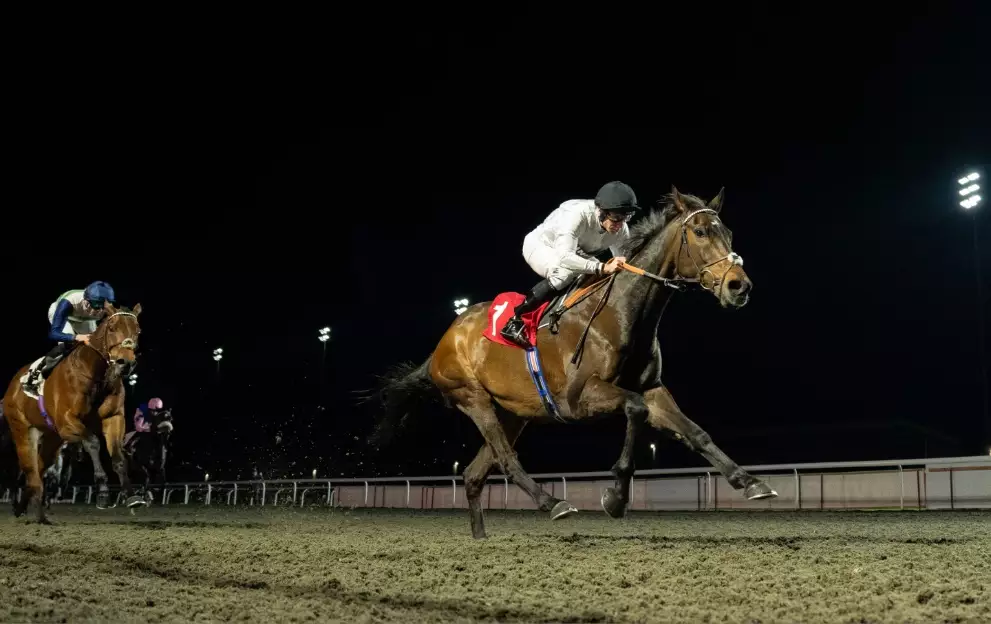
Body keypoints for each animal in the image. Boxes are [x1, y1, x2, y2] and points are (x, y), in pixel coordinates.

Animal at [1, 302, 144, 523]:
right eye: (112, 328)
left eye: (137, 331)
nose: (125, 362)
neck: (96, 374)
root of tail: (13, 385)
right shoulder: (67, 422)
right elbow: (92, 442)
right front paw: (103, 492)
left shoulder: (113, 418)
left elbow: (119, 457)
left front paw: (132, 496)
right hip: (22, 429)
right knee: (30, 469)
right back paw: (39, 516)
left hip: (52, 438)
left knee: (39, 468)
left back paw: (24, 508)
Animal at [369, 186, 777, 538]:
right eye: (700, 231)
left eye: (727, 232)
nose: (739, 286)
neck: (619, 313)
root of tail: (443, 343)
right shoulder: (579, 397)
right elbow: (635, 409)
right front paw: (615, 497)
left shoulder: (653, 388)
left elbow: (695, 431)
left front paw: (751, 482)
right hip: (474, 399)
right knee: (507, 458)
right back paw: (553, 503)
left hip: (512, 412)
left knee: (474, 473)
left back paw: (481, 539)